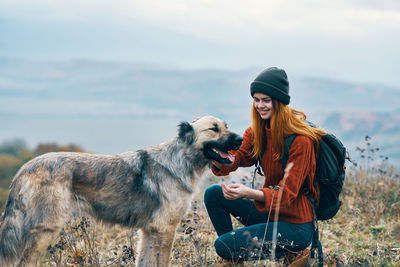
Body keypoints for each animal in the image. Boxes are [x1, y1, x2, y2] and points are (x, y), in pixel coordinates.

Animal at [0, 116, 244, 267]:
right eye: (214, 129)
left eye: (226, 125)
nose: (241, 139)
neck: (181, 159)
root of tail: (24, 168)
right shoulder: (164, 229)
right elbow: (161, 260)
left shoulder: (150, 231)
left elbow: (146, 261)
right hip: (45, 229)